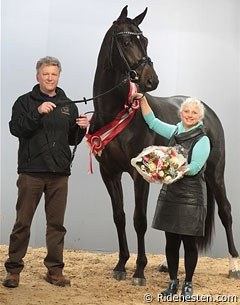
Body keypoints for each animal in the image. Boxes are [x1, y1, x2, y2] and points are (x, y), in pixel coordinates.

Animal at [87, 5, 239, 284]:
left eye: (145, 40)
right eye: (126, 41)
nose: (151, 80)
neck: (116, 112)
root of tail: (208, 111)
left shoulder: (139, 175)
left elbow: (139, 219)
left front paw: (138, 270)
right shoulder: (109, 173)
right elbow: (119, 217)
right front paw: (121, 265)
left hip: (215, 172)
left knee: (226, 211)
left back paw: (233, 265)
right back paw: (169, 265)